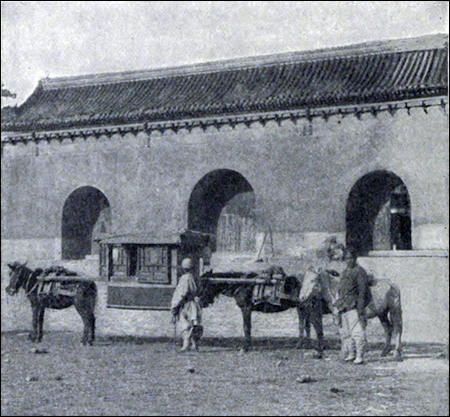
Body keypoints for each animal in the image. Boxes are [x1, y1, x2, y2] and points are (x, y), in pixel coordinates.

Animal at [198, 273, 326, 357]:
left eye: (204, 285)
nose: (200, 302)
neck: (241, 284)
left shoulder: (246, 309)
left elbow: (246, 328)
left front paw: (245, 348)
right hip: (302, 308)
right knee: (305, 326)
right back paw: (303, 345)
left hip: (309, 309)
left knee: (318, 326)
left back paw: (319, 349)